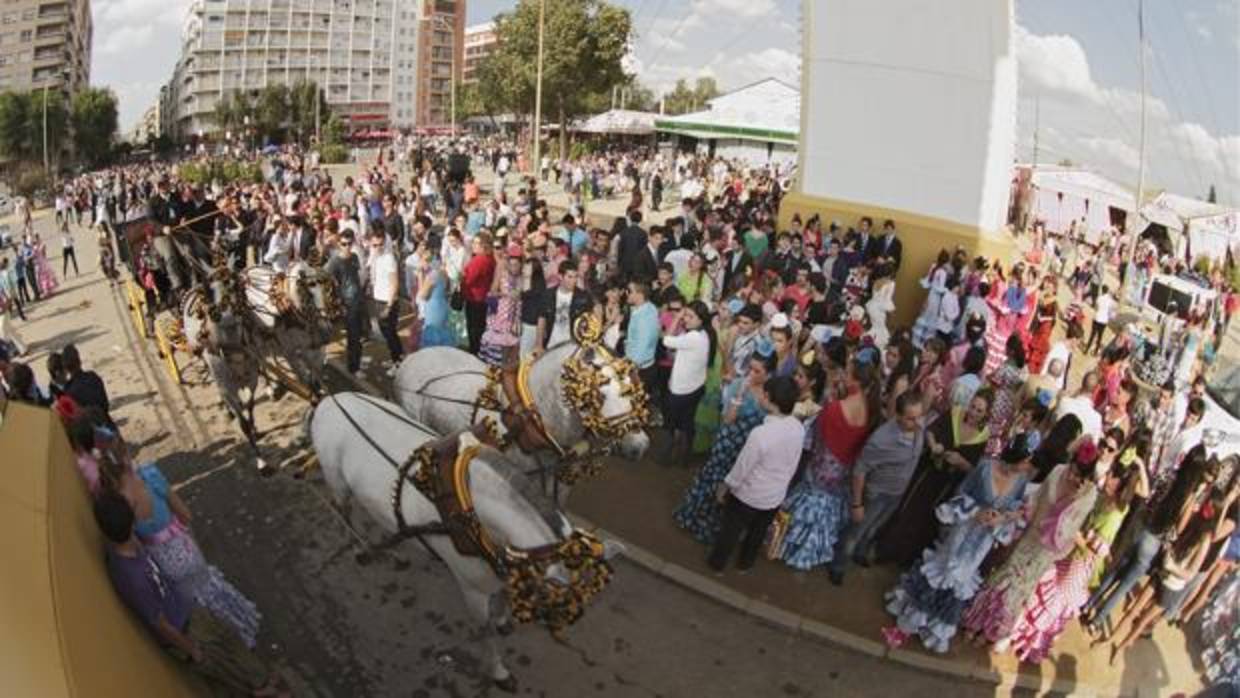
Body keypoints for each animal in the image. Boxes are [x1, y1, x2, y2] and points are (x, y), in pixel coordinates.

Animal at [310, 394, 620, 694]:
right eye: (553, 596)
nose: (560, 629)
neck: (472, 511)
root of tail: (329, 400)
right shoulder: (474, 590)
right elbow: (485, 631)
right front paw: (499, 671)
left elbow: (502, 598)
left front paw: (504, 619)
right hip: (337, 481)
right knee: (345, 514)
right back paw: (361, 548)